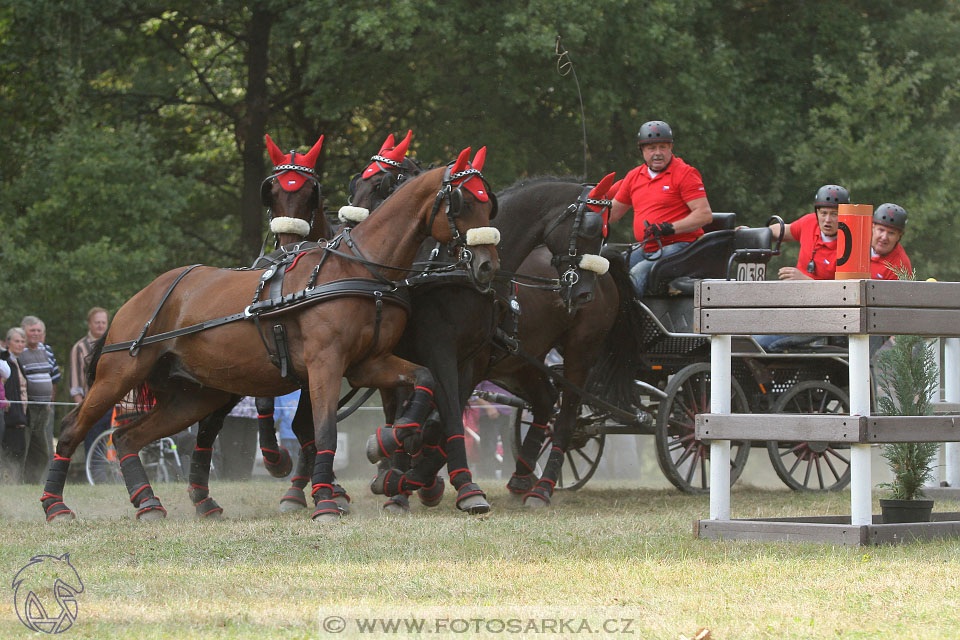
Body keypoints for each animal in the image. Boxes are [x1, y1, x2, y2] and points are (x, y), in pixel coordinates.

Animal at [41, 148, 498, 524]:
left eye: (487, 200)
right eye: (461, 201)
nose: (488, 265)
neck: (359, 269)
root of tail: (142, 296)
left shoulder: (366, 364)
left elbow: (422, 379)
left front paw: (388, 439)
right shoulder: (324, 364)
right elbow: (324, 429)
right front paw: (326, 501)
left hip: (193, 395)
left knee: (127, 437)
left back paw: (150, 503)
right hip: (119, 373)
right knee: (72, 428)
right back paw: (56, 506)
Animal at [364, 172, 620, 512]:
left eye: (602, 232)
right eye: (591, 228)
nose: (584, 293)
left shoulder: (464, 360)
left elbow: (442, 419)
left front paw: (415, 481)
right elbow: (418, 415)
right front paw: (401, 477)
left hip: (580, 354)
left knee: (566, 419)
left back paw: (541, 489)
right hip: (524, 362)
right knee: (545, 402)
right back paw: (521, 477)